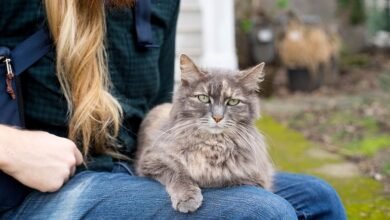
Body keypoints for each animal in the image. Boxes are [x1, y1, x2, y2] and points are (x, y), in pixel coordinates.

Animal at [136, 54, 274, 213]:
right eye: (203, 98)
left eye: (233, 102)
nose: (217, 117)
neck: (212, 144)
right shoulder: (153, 159)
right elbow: (179, 173)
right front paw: (187, 198)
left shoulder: (256, 178)